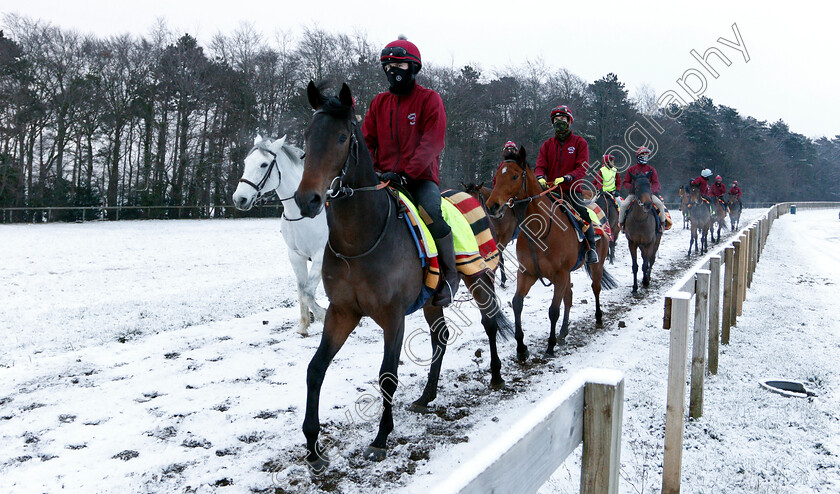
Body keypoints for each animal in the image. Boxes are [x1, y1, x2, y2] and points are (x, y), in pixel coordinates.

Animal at [236, 135, 332, 336]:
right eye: (247, 162)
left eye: (264, 164)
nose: (239, 199)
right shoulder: (296, 256)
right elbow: (302, 291)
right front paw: (303, 325)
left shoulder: (321, 255)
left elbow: (308, 293)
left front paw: (322, 315)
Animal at [292, 83, 516, 472]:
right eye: (307, 135)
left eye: (341, 137)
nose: (308, 200)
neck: (361, 239)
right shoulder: (342, 311)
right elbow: (315, 368)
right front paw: (312, 446)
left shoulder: (393, 316)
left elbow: (387, 375)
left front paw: (381, 439)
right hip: (433, 299)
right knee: (440, 337)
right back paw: (427, 395)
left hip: (479, 278)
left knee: (489, 323)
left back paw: (496, 374)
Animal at [486, 149, 616, 356]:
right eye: (497, 177)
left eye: (515, 176)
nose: (492, 205)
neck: (540, 230)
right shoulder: (527, 273)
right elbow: (517, 303)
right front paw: (521, 346)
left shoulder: (560, 274)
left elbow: (553, 310)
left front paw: (550, 344)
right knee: (569, 298)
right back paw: (563, 331)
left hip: (596, 265)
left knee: (595, 288)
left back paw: (598, 317)